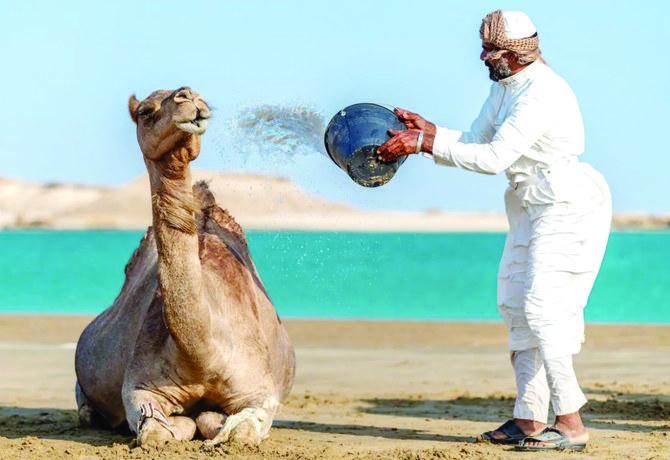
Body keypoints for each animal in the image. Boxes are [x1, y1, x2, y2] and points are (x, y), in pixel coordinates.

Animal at [73, 86, 296, 446]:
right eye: (145, 111)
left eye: (200, 95)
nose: (188, 96)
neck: (205, 355)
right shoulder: (141, 389)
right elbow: (155, 430)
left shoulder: (259, 390)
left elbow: (240, 429)